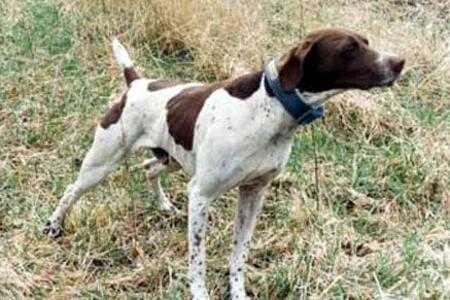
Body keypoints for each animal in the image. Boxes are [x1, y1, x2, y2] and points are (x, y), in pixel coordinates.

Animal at [44, 28, 406, 300]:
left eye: (366, 42)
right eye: (349, 49)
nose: (400, 62)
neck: (269, 109)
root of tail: (136, 83)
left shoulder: (253, 193)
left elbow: (239, 255)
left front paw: (237, 292)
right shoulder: (202, 194)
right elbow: (198, 259)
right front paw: (200, 293)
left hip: (171, 158)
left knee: (149, 168)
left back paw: (164, 205)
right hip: (102, 163)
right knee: (72, 189)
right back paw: (53, 225)